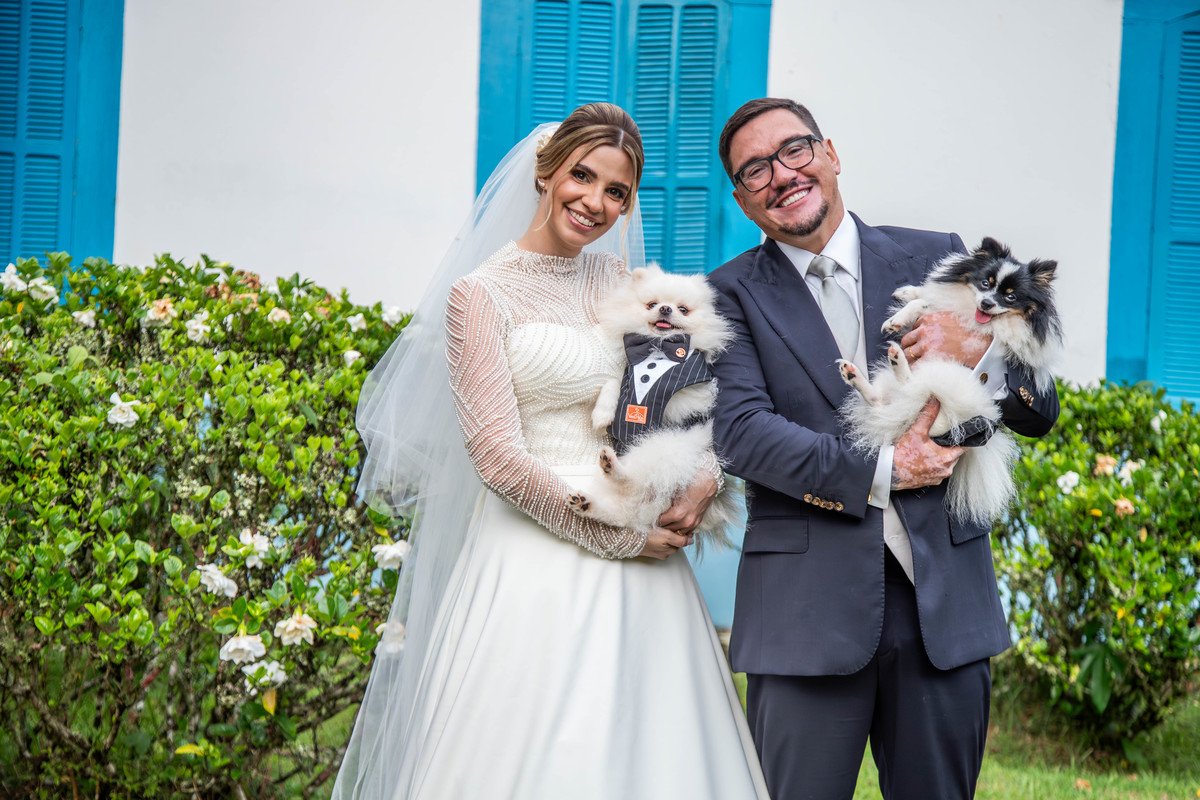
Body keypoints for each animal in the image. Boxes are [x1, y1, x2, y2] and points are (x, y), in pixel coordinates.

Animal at [567, 264, 739, 550]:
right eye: (651, 304)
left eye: (683, 309)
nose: (666, 309)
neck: (657, 348)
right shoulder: (626, 371)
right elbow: (613, 382)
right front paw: (602, 415)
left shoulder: (683, 395)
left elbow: (661, 397)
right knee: (623, 511)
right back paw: (588, 502)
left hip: (664, 448)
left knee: (638, 480)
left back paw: (613, 467)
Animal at [836, 237, 1062, 525]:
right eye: (985, 284)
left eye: (1010, 296)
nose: (986, 304)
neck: (970, 310)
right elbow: (926, 298)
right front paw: (907, 297)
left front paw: (900, 316)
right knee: (880, 401)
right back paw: (853, 373)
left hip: (947, 381)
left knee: (910, 387)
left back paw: (896, 360)